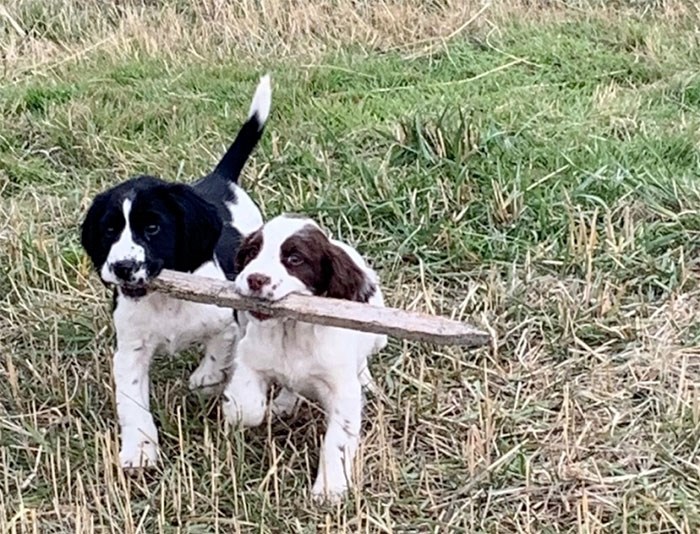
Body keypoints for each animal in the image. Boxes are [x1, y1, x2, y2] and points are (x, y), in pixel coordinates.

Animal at [79, 74, 270, 468]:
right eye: (109, 230)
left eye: (152, 227)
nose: (122, 267)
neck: (165, 301)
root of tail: (219, 179)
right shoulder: (130, 350)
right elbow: (132, 403)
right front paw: (139, 448)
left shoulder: (225, 322)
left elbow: (218, 354)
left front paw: (205, 380)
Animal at [223, 215, 388, 506]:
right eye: (252, 252)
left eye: (295, 259)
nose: (255, 279)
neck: (292, 330)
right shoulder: (250, 357)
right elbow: (249, 406)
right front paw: (234, 410)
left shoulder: (342, 390)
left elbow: (337, 440)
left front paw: (330, 488)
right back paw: (283, 405)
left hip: (379, 335)